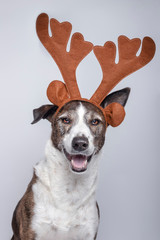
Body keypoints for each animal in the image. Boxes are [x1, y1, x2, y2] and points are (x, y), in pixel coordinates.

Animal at [11, 88, 131, 240]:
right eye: (65, 120)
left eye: (95, 121)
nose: (80, 143)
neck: (71, 186)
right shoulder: (31, 231)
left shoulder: (89, 233)